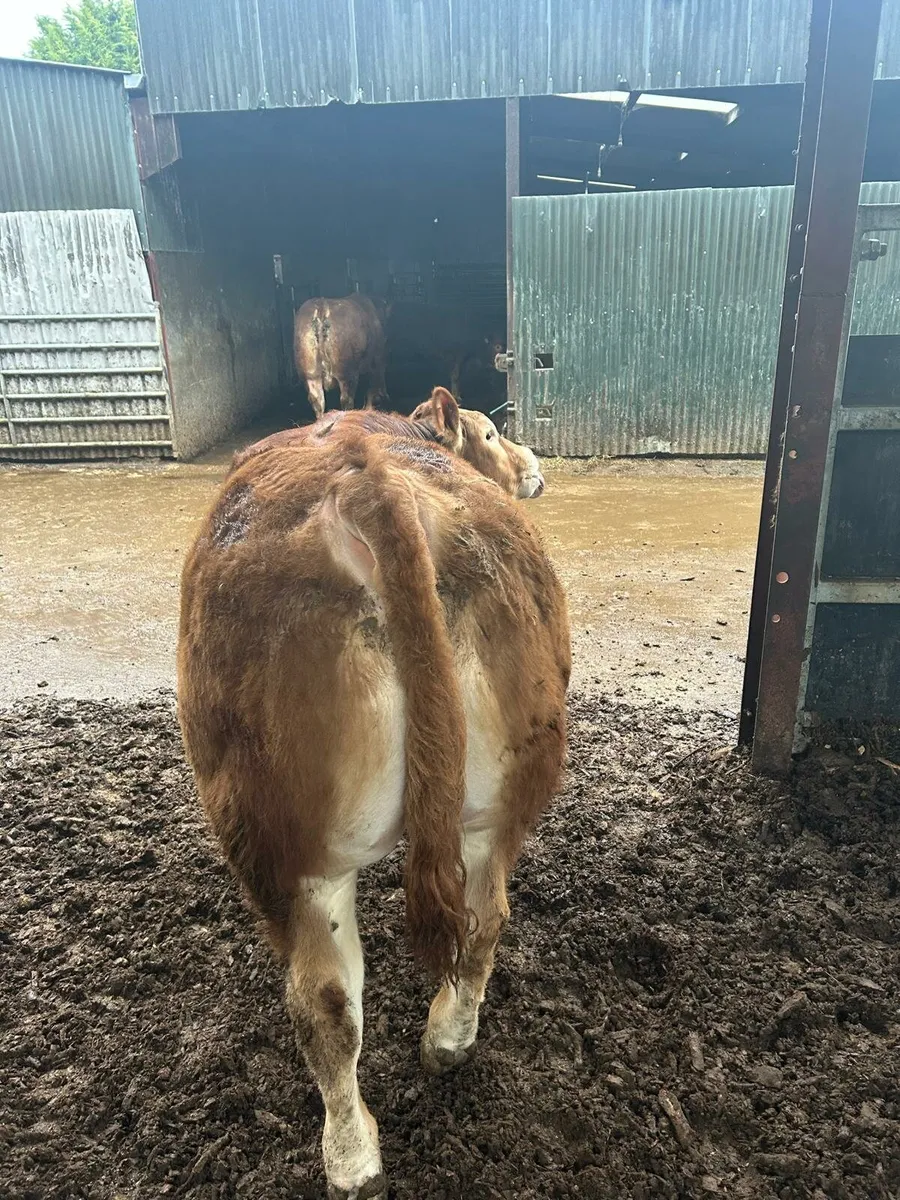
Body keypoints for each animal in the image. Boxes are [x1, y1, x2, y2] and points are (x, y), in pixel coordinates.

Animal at [177, 386, 570, 1199]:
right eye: (490, 434)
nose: (533, 467)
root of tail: (370, 482)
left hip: (287, 843)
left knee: (324, 1004)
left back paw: (351, 1159)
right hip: (500, 799)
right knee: (484, 919)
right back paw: (448, 1042)